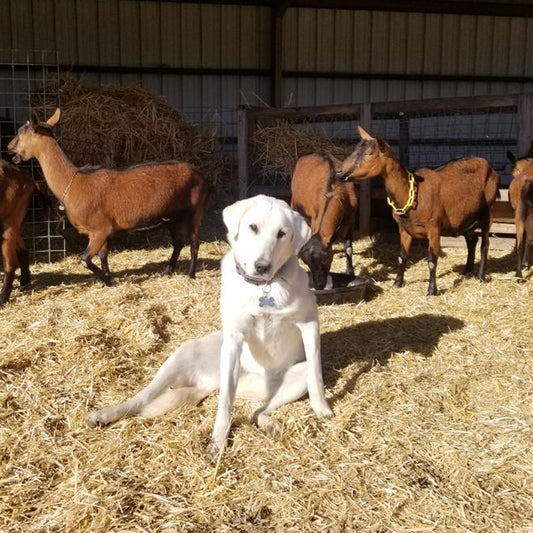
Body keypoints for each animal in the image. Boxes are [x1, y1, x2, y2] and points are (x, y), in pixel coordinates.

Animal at [8, 106, 210, 284]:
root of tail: (200, 175)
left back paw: (191, 275)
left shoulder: (101, 230)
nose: (9, 148)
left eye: (22, 133)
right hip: (174, 216)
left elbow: (85, 259)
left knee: (194, 243)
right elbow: (102, 255)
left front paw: (109, 281)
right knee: (178, 241)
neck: (74, 183)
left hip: (195, 211)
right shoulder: (98, 232)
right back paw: (168, 270)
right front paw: (108, 277)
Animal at [85, 195, 330, 454]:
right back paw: (104, 415)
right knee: (142, 397)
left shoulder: (310, 323)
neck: (262, 288)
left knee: (258, 410)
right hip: (179, 359)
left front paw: (322, 408)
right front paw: (218, 440)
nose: (262, 266)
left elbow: (316, 374)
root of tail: (209, 383)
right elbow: (225, 403)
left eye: (282, 233)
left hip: (291, 381)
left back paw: (270, 424)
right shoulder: (233, 340)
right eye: (253, 227)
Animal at [290, 152, 358, 288]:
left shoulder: (351, 219)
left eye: (326, 259)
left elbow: (348, 248)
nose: (318, 285)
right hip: (294, 202)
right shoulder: (315, 218)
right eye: (307, 262)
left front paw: (350, 272)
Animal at [336, 127, 498, 298]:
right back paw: (467, 271)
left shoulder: (434, 228)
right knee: (472, 240)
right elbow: (402, 257)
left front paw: (432, 290)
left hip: (488, 211)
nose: (339, 171)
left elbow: (432, 260)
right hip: (465, 217)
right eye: (355, 150)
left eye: (369, 154)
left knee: (485, 244)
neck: (412, 194)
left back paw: (481, 277)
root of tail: (488, 165)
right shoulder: (404, 228)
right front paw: (397, 283)